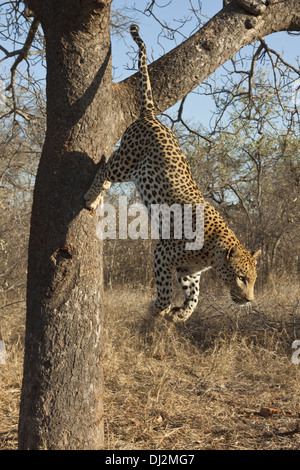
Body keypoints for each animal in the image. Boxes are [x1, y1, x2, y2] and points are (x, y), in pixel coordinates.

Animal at [84, 24, 260, 324]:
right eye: (240, 277)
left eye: (254, 279)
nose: (249, 301)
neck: (212, 255)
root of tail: (151, 116)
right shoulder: (163, 251)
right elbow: (165, 290)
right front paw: (158, 308)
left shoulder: (189, 271)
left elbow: (195, 297)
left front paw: (180, 315)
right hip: (126, 162)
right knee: (104, 167)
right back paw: (92, 197)